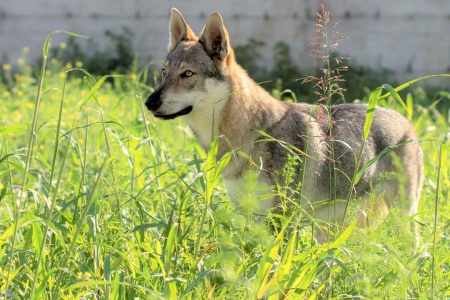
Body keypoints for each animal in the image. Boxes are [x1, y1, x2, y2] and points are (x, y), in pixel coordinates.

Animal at [146, 8, 424, 244]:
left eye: (188, 74)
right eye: (164, 72)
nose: (149, 102)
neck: (251, 134)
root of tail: (405, 121)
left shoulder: (282, 220)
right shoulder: (251, 216)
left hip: (401, 220)